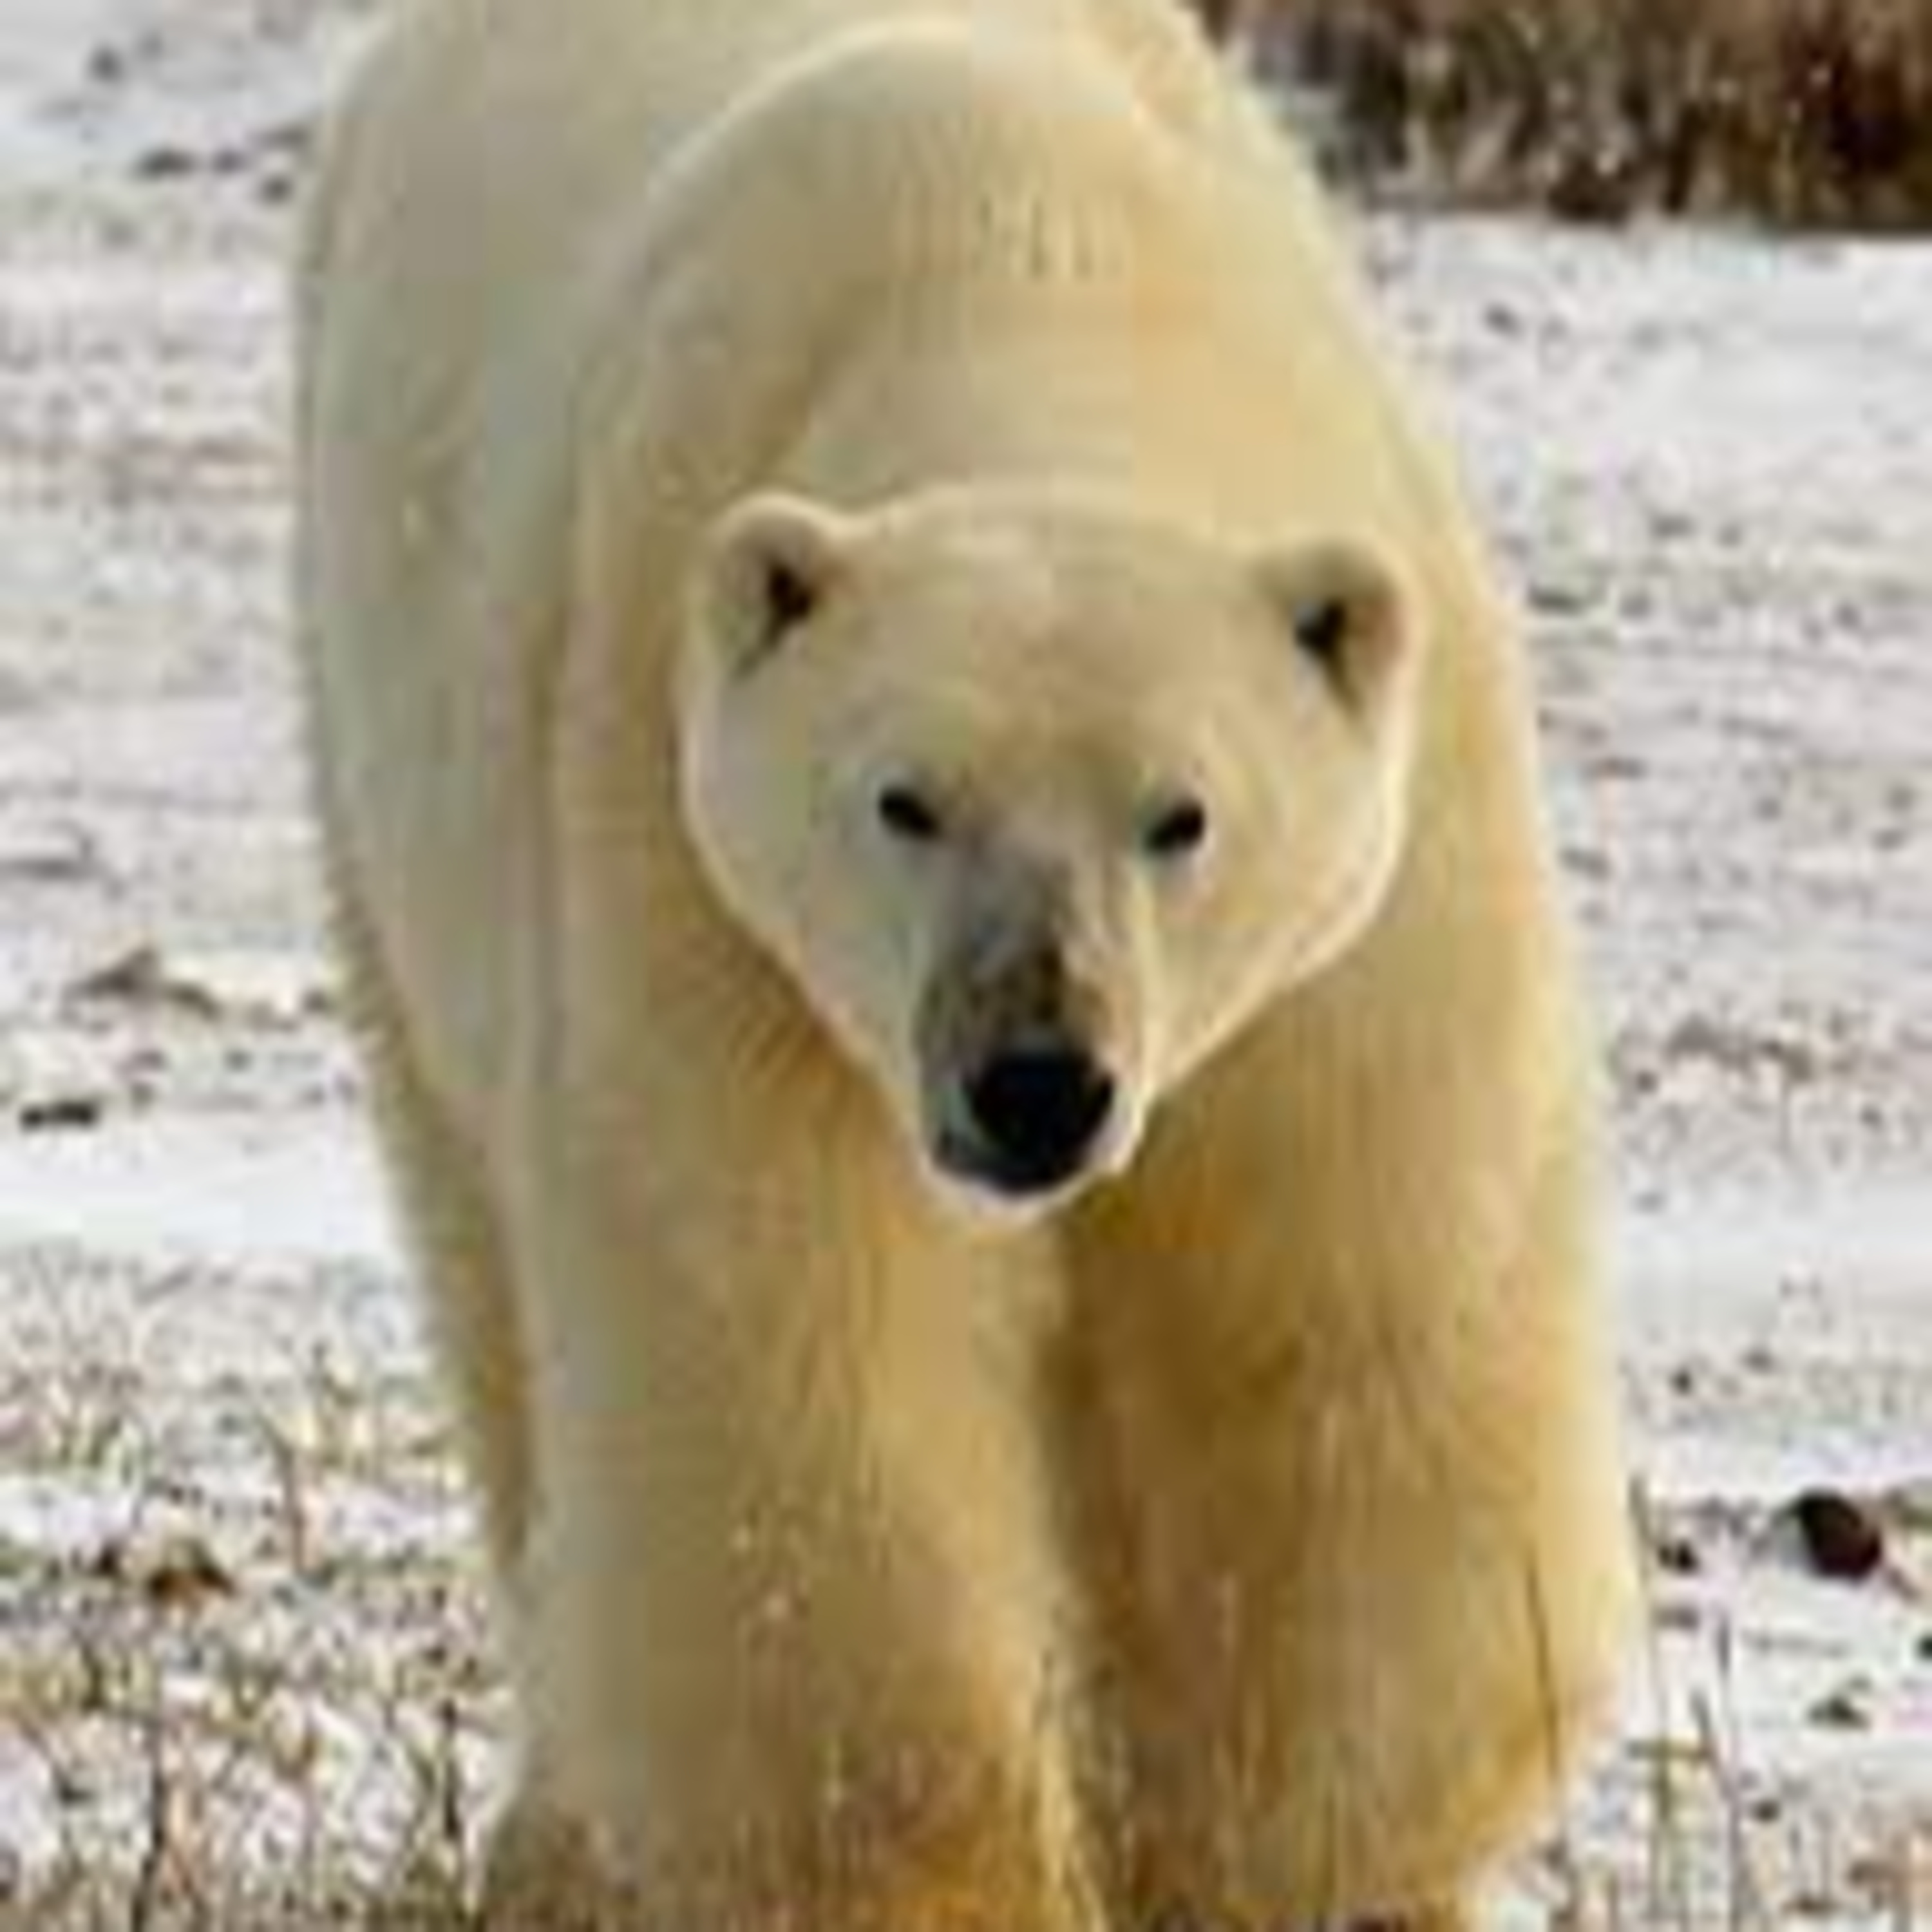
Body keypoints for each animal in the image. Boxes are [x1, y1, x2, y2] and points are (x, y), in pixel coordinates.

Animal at [296, 2, 1636, 1929]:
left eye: (1183, 812)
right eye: (902, 800)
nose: (1036, 1083)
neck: (1032, 258)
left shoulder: (1372, 910)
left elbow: (1343, 1301)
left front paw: (1292, 1846)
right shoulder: (688, 856)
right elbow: (790, 1342)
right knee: (495, 1282)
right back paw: (554, 1839)